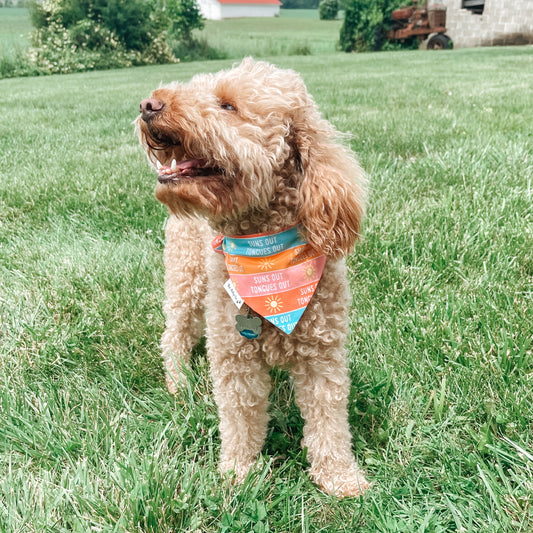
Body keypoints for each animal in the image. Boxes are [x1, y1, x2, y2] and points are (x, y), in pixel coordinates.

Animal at [135, 59, 368, 498]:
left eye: (228, 105)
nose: (148, 104)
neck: (264, 251)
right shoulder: (234, 356)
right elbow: (240, 418)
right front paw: (238, 473)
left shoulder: (323, 354)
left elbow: (328, 419)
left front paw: (340, 477)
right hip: (187, 279)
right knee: (174, 335)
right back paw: (180, 383)